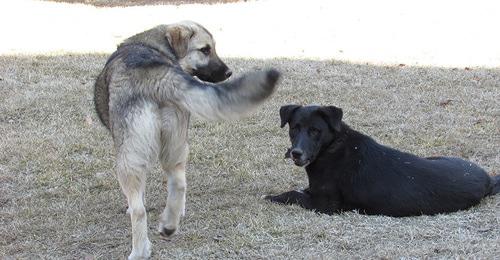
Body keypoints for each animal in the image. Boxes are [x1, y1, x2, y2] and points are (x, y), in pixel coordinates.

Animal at [94, 21, 282, 258]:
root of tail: (156, 75)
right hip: (175, 144)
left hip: (129, 158)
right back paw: (169, 225)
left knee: (139, 211)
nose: (229, 72)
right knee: (179, 183)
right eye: (205, 50)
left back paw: (140, 251)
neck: (155, 45)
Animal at [264, 104, 498, 216]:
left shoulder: (325, 206)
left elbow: (293, 194)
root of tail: (488, 179)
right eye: (294, 128)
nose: (296, 153)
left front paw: (272, 197)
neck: (331, 147)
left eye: (315, 131)